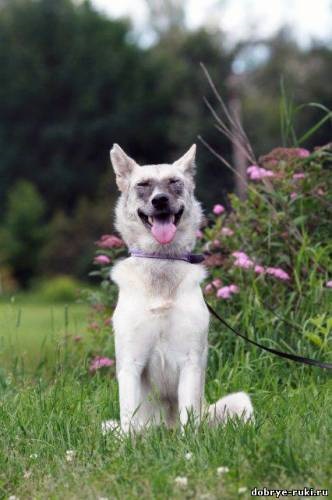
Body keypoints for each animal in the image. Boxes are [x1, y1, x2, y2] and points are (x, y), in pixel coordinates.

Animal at [104, 144, 254, 434]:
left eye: (174, 182)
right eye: (143, 185)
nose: (160, 201)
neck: (161, 264)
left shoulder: (190, 362)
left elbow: (189, 417)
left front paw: (189, 442)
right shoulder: (130, 365)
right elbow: (129, 418)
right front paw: (129, 444)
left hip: (240, 401)